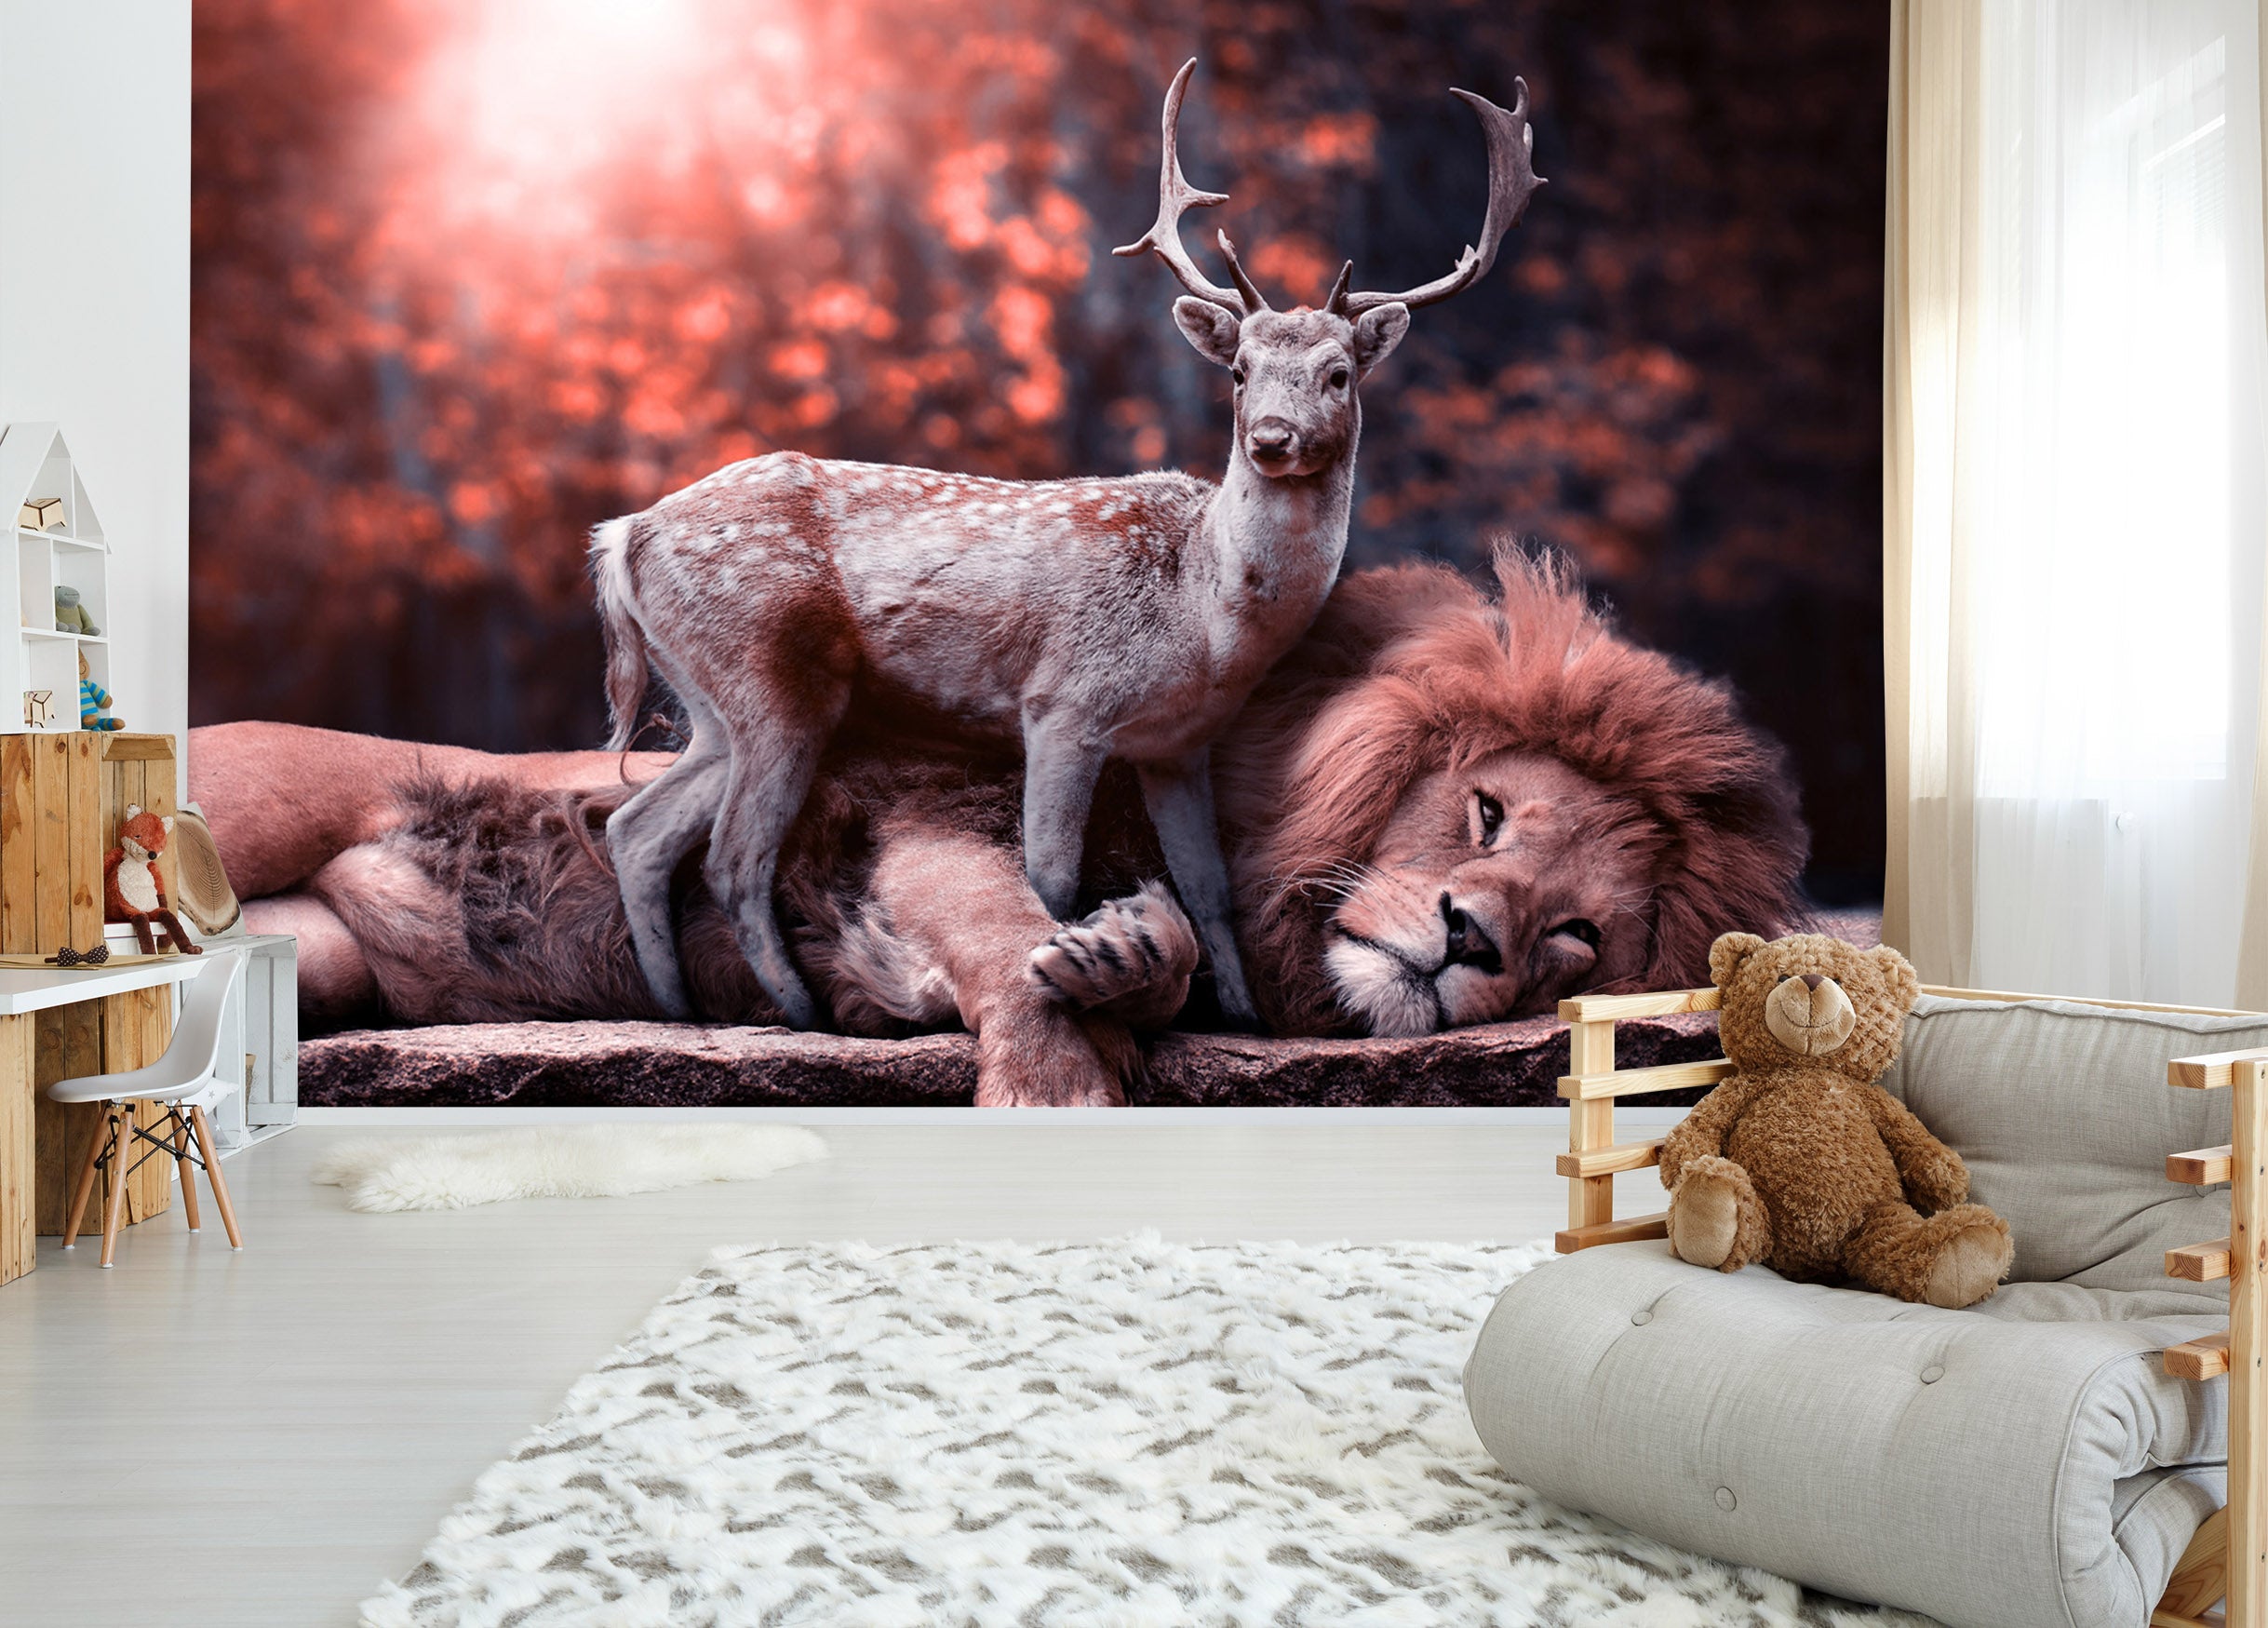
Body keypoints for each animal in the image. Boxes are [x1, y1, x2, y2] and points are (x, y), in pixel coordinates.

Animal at [193, 549, 1809, 1105]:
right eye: (1484, 808)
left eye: (1575, 937)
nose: (1472, 936)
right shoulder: (925, 816)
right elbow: (1005, 941)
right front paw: (1058, 1085)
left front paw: (1130, 954)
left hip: (314, 965)